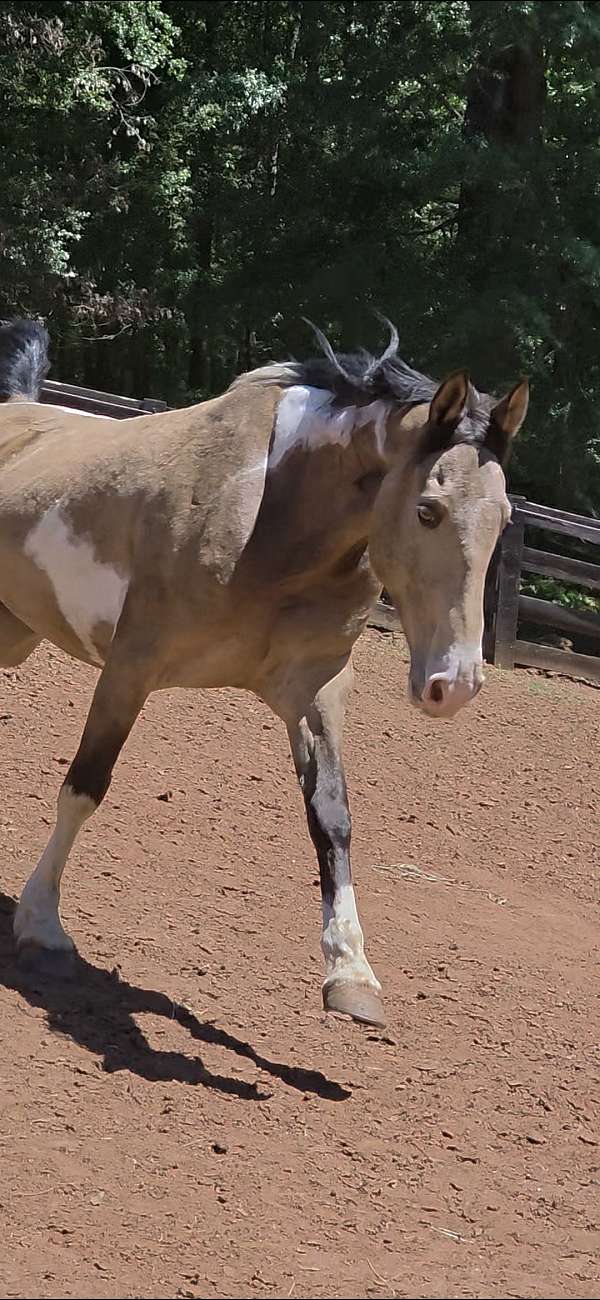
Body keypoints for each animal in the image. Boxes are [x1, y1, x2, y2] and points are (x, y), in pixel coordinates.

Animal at [0, 317, 528, 1027]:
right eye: (428, 509)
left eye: (504, 518)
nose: (457, 685)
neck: (269, 515)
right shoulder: (129, 670)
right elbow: (85, 787)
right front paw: (41, 925)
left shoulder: (315, 690)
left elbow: (331, 818)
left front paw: (351, 974)